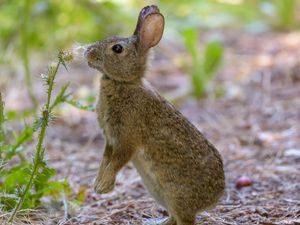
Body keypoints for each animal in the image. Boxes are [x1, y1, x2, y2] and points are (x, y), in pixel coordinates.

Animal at [83, 4, 224, 225]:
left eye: (117, 48)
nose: (87, 52)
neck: (124, 83)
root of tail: (214, 198)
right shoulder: (110, 140)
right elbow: (105, 159)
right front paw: (98, 184)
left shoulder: (126, 138)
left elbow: (117, 161)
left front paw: (104, 186)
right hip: (159, 194)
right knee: (173, 218)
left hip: (175, 195)